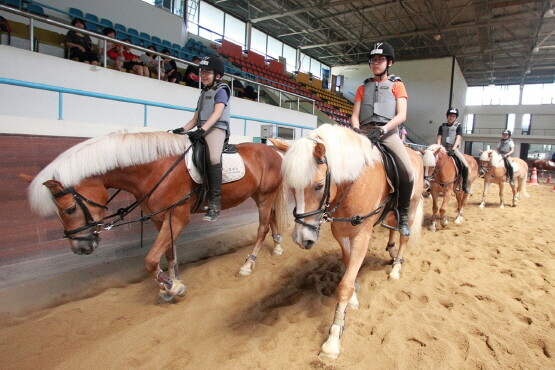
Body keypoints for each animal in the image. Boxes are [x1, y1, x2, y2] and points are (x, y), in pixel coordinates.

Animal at [19, 130, 288, 300]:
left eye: (70, 209)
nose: (80, 249)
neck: (154, 169)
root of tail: (274, 151)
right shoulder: (161, 219)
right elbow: (168, 254)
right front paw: (174, 280)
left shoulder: (177, 217)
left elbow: (150, 260)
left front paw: (172, 287)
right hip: (260, 195)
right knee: (271, 220)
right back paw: (277, 247)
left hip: (265, 195)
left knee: (262, 227)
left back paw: (248, 265)